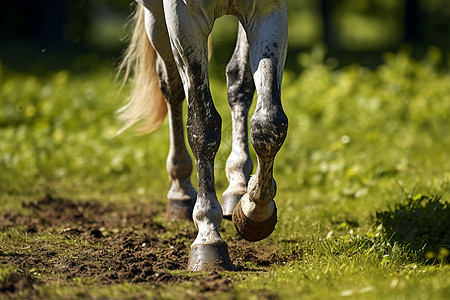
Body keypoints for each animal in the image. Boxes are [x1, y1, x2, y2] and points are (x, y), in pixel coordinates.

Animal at [118, 0, 288, 272]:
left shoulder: (269, 11)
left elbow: (269, 122)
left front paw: (254, 211)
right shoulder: (184, 17)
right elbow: (202, 125)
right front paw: (208, 236)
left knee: (238, 79)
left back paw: (237, 183)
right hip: (155, 15)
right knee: (171, 85)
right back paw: (180, 190)